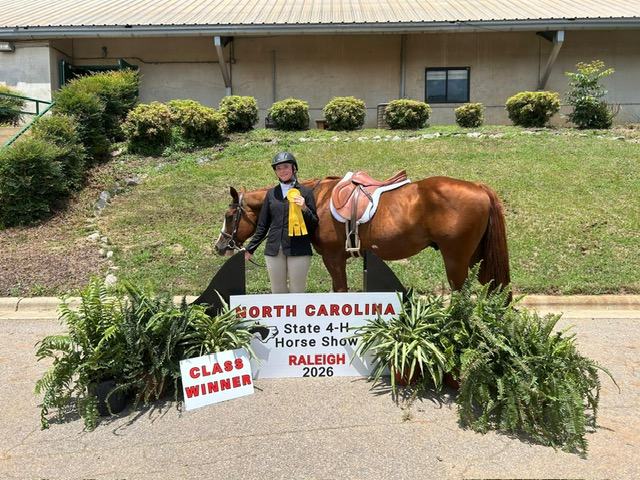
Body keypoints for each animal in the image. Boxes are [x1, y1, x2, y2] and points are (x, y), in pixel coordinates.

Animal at [214, 176, 510, 293]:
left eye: (229, 216)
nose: (219, 246)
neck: (317, 201)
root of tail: (479, 188)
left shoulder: (334, 258)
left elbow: (341, 290)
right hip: (475, 257)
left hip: (456, 259)